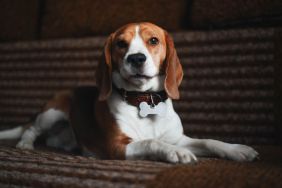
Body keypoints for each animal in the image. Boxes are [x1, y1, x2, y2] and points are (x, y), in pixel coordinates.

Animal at [0, 22, 258, 163]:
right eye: (121, 44)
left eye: (153, 40)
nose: (136, 58)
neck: (145, 100)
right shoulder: (118, 146)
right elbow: (151, 142)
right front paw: (176, 153)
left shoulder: (179, 137)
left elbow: (209, 141)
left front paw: (236, 149)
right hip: (53, 112)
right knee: (32, 129)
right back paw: (25, 144)